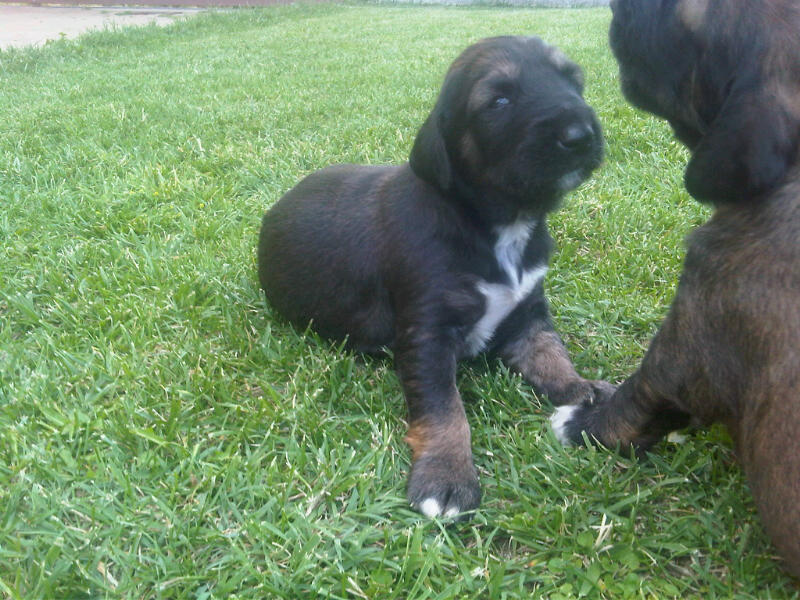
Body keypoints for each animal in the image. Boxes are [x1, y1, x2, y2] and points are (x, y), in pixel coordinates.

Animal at [258, 35, 613, 518]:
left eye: (573, 80)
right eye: (498, 101)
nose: (580, 135)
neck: (497, 222)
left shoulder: (527, 311)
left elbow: (550, 354)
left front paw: (583, 391)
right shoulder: (426, 332)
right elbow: (444, 408)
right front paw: (446, 477)